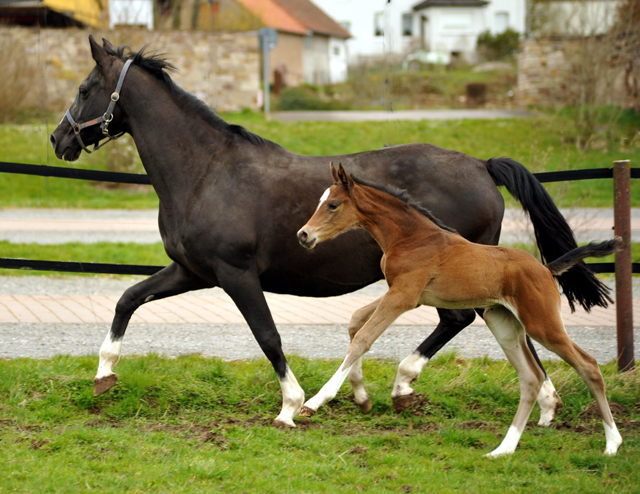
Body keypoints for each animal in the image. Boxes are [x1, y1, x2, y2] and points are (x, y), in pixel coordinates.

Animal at [298, 161, 624, 456]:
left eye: (333, 205)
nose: (303, 235)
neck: (411, 236)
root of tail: (545, 269)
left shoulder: (403, 296)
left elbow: (364, 338)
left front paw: (315, 401)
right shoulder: (406, 294)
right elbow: (355, 322)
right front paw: (362, 397)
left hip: (542, 324)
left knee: (588, 365)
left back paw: (612, 443)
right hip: (504, 324)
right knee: (530, 378)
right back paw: (504, 449)